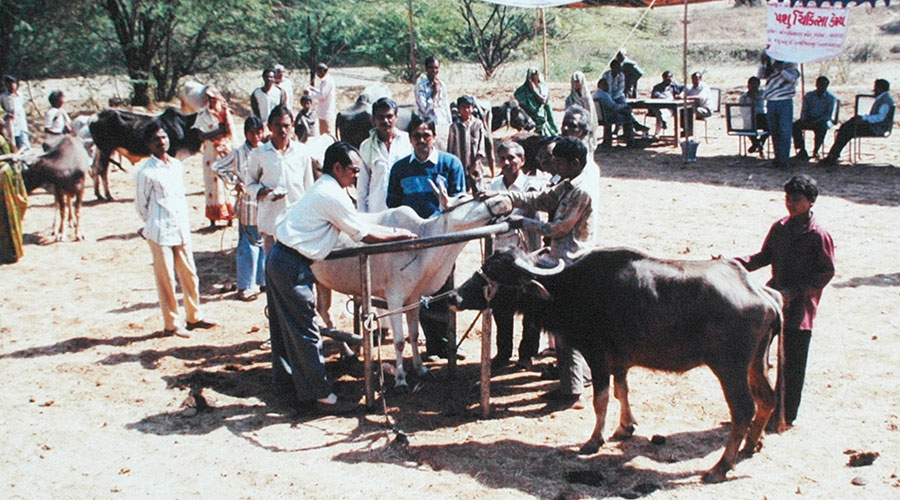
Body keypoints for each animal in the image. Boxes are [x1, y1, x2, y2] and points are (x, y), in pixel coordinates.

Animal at [312, 189, 512, 388]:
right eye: (462, 196)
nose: (505, 199)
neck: (424, 246)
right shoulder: (394, 297)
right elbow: (400, 341)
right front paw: (400, 379)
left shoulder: (414, 297)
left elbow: (414, 335)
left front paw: (421, 368)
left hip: (321, 282)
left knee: (324, 313)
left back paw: (349, 353)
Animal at [454, 248, 784, 482]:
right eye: (485, 266)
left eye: (495, 273)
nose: (454, 296)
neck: (570, 289)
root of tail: (764, 295)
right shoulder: (620, 360)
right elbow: (621, 391)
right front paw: (625, 427)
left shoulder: (597, 356)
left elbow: (600, 399)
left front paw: (593, 440)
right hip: (757, 362)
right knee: (767, 398)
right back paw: (750, 445)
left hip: (729, 368)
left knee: (743, 409)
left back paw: (720, 467)